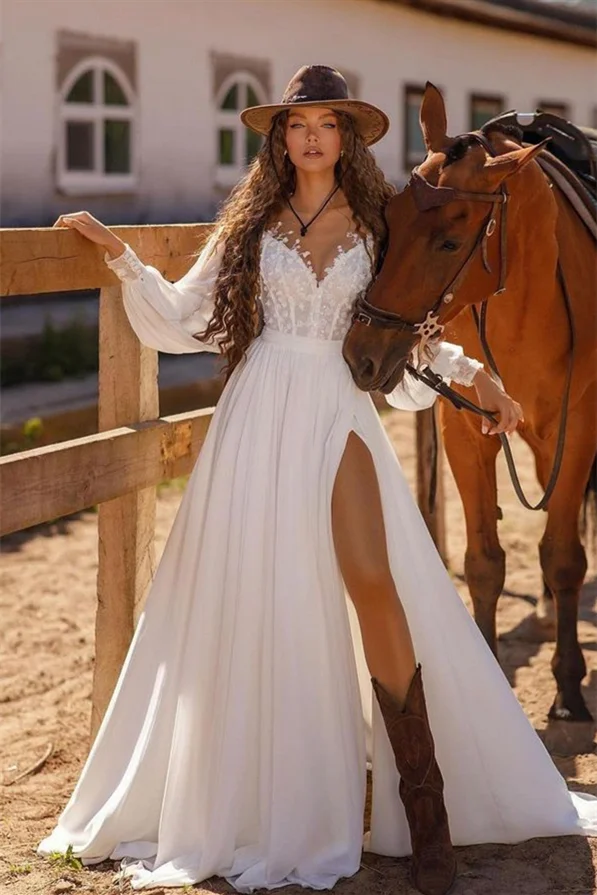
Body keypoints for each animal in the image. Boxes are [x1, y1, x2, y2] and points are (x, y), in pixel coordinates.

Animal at [342, 84, 592, 724]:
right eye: (389, 219)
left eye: (450, 241)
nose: (361, 355)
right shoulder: (465, 431)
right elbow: (484, 563)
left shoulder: (581, 433)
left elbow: (563, 556)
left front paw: (569, 687)